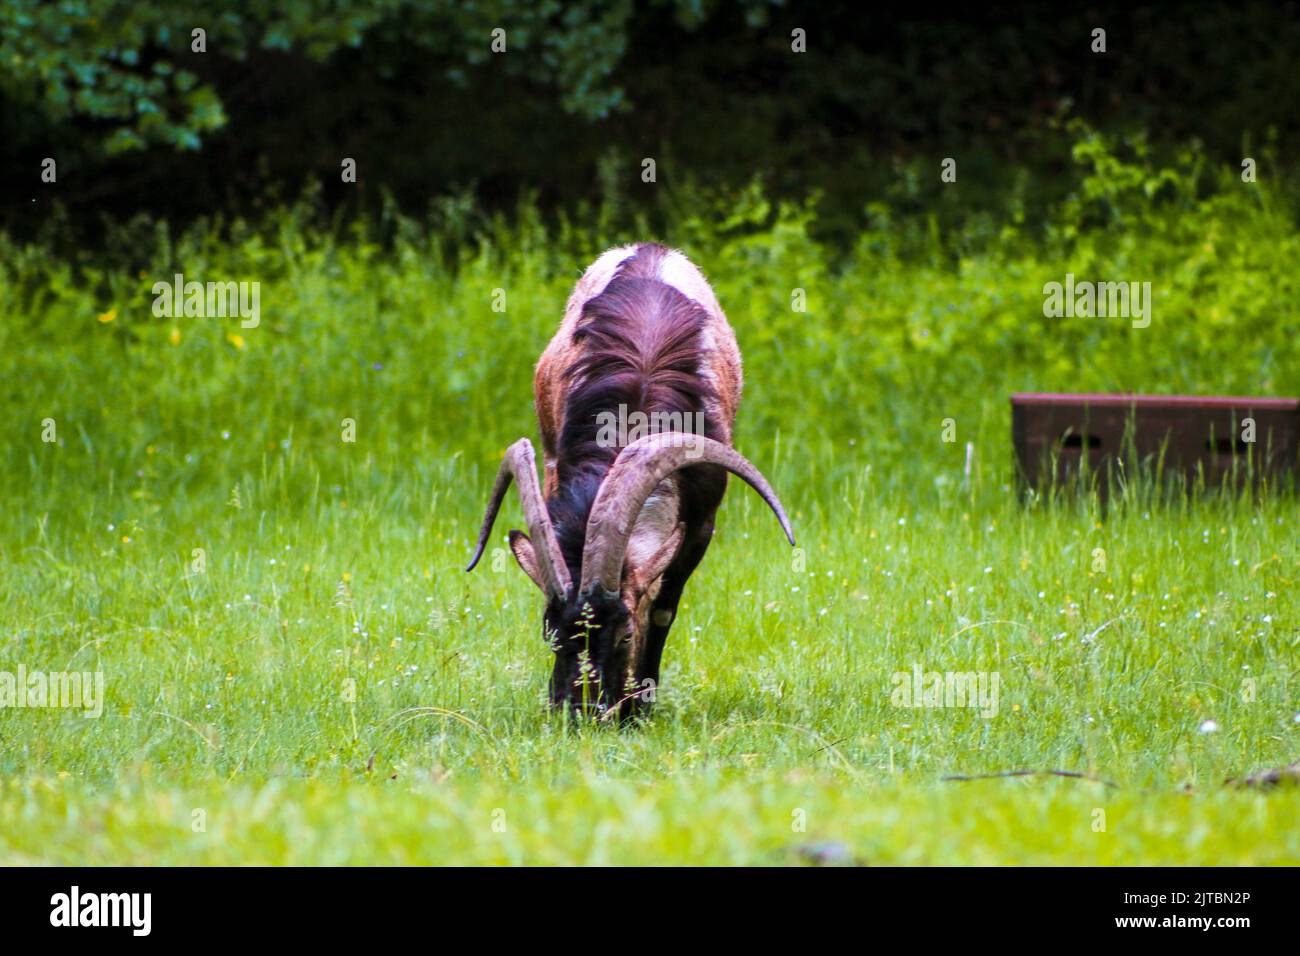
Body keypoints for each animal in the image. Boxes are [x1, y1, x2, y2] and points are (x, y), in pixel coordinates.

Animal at [467, 242, 794, 718]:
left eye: (623, 633)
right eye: (550, 631)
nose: (580, 710)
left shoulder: (701, 523)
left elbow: (661, 610)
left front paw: (640, 708)